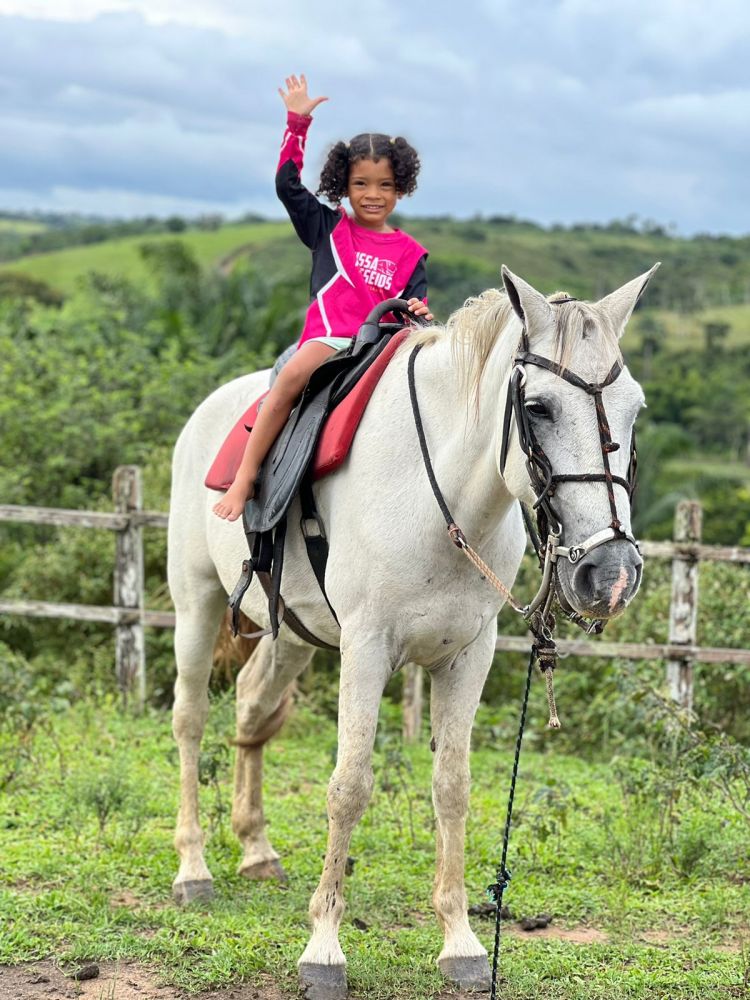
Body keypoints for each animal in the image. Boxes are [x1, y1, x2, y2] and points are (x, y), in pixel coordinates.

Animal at [169, 264, 656, 992]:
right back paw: (194, 869)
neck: (443, 500)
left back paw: (255, 849)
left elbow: (452, 788)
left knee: (253, 709)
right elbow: (349, 787)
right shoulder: (367, 649)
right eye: (538, 408)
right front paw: (323, 950)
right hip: (196, 603)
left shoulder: (470, 655)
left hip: (293, 636)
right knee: (192, 719)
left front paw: (462, 944)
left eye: (635, 409)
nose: (611, 573)